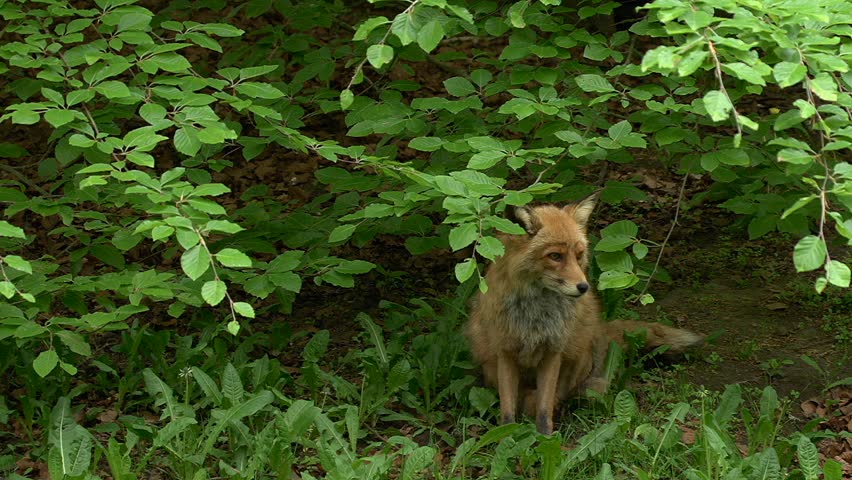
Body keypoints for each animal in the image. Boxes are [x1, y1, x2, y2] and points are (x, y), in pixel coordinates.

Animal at [465, 192, 703, 435]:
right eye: (555, 256)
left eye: (579, 255)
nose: (584, 287)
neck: (535, 316)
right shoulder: (505, 352)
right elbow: (507, 410)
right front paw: (506, 436)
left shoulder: (553, 352)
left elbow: (544, 407)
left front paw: (545, 437)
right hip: (489, 366)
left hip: (578, 358)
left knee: (561, 396)